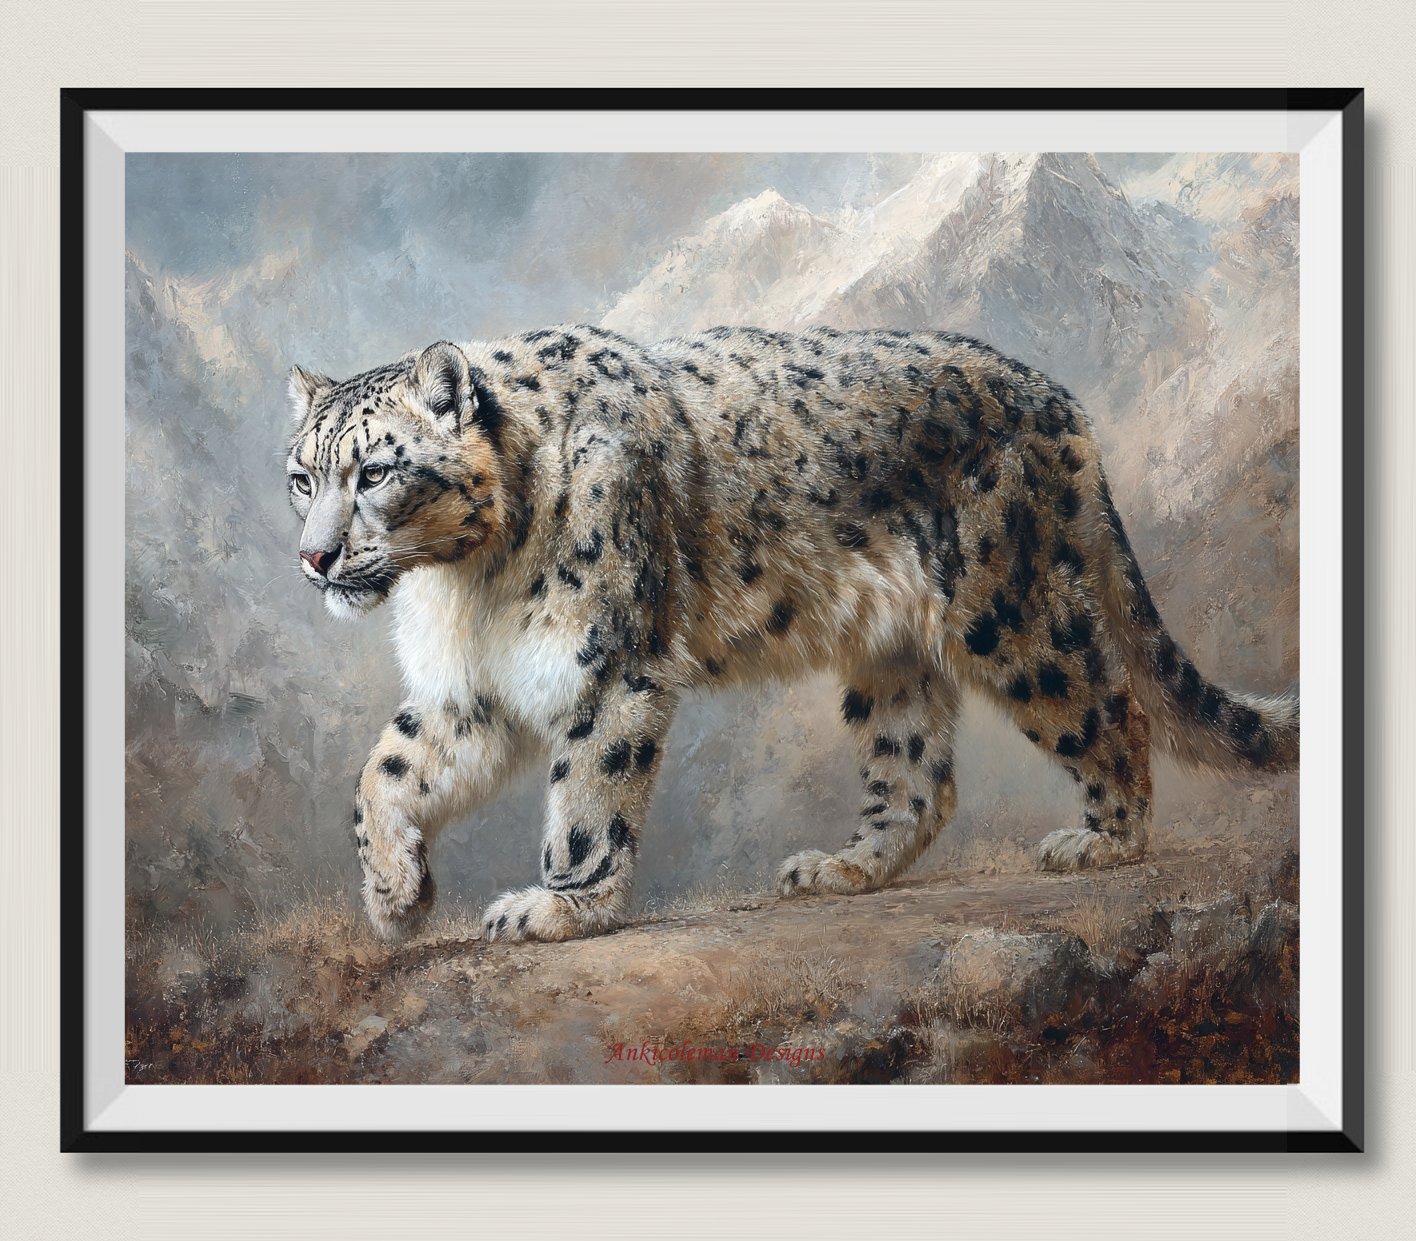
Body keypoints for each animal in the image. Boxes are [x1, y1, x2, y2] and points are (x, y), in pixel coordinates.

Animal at [284, 324, 1298, 944]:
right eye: (301, 477)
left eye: (376, 471)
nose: (315, 557)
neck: (466, 582)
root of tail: (1058, 400)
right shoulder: (472, 691)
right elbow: (384, 770)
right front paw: (395, 898)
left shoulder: (607, 668)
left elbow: (586, 801)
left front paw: (559, 908)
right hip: (890, 659)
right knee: (917, 775)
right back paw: (844, 867)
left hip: (1013, 613)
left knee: (1111, 707)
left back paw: (1104, 842)